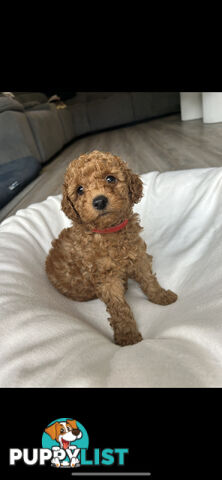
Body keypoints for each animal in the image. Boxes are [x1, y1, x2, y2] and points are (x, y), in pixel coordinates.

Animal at [46, 150, 178, 344]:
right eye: (79, 190)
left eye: (110, 179)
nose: (99, 201)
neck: (110, 231)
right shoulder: (105, 277)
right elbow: (119, 307)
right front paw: (128, 337)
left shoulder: (138, 256)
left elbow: (149, 280)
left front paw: (162, 296)